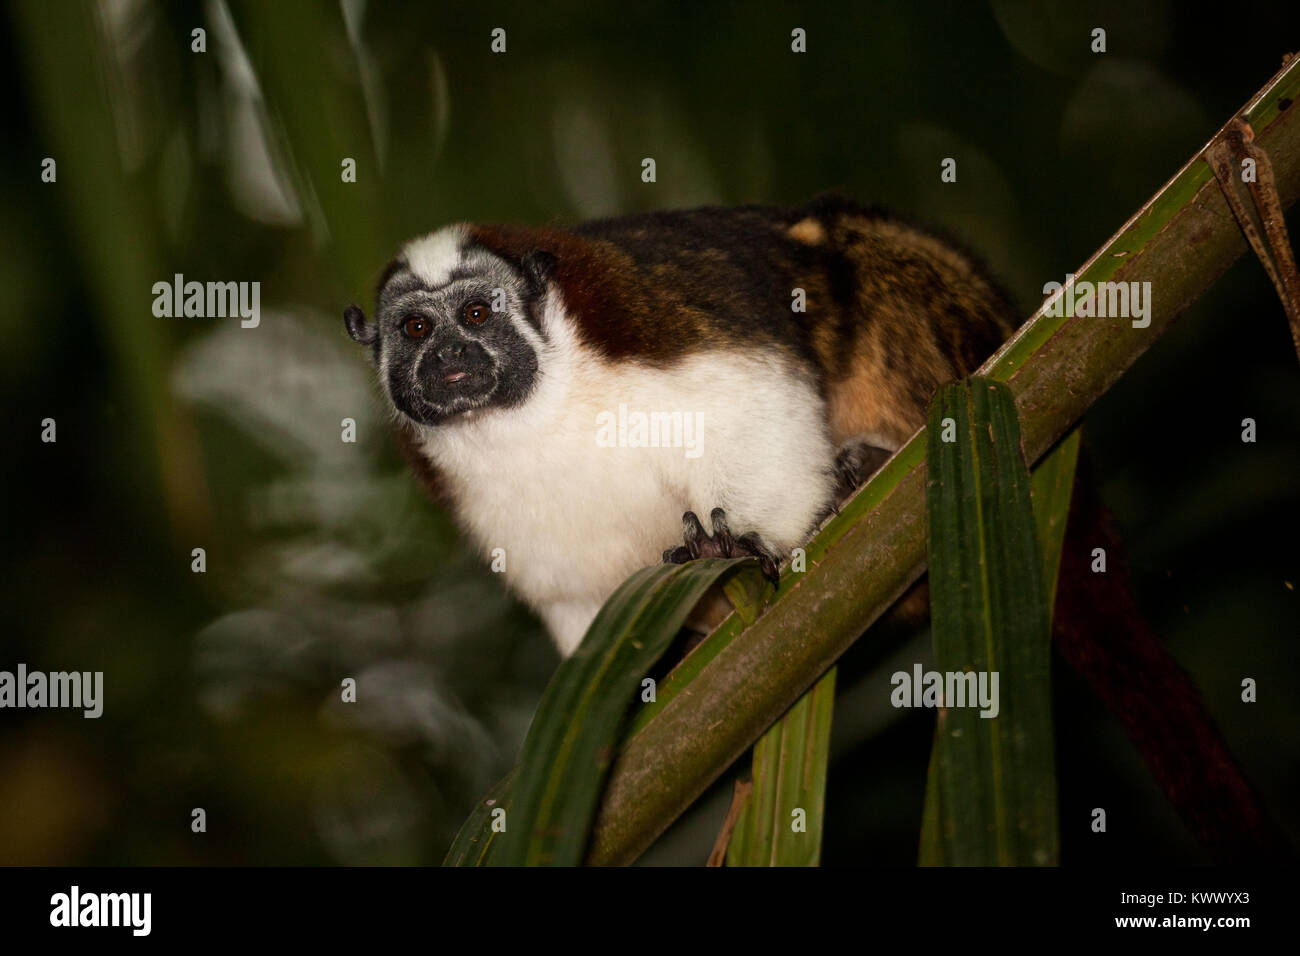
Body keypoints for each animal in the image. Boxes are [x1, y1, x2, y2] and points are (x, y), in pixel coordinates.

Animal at [343, 195, 1013, 658]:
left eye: (477, 314)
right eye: (416, 329)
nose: (451, 356)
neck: (537, 407)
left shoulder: (654, 326)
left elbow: (753, 401)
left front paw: (730, 547)